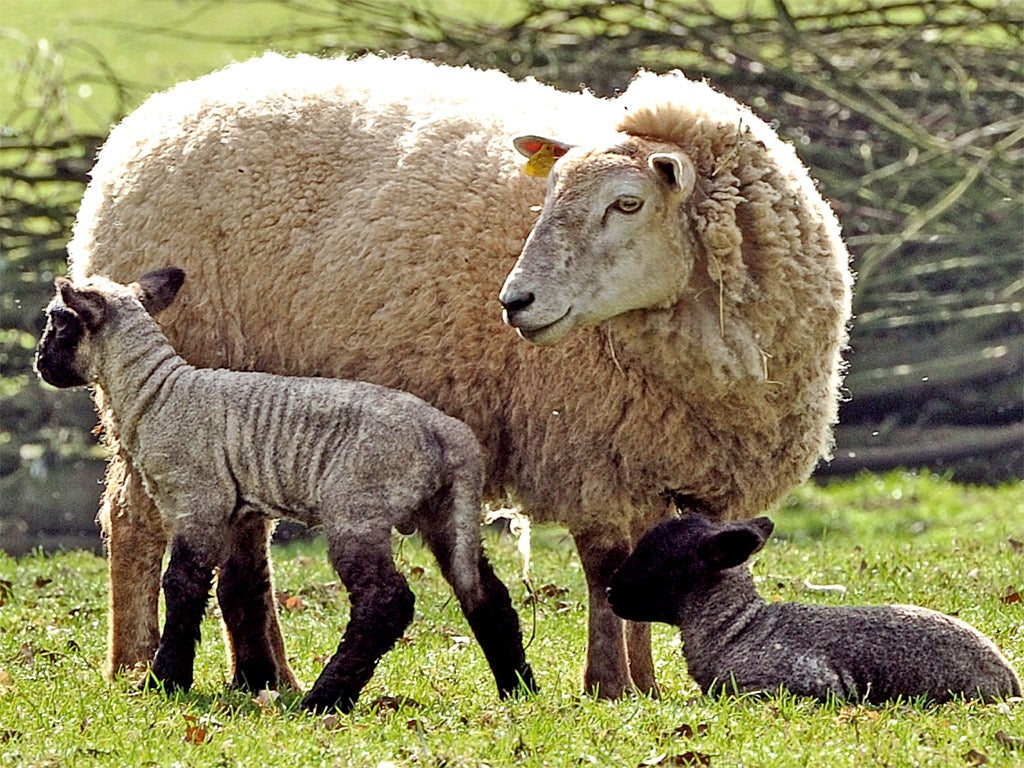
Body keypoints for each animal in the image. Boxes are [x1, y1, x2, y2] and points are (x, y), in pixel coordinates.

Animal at [32, 268, 536, 712]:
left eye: (58, 322)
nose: (40, 363)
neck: (156, 392)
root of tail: (448, 434)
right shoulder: (233, 512)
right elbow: (237, 587)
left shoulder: (197, 500)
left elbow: (182, 585)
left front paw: (166, 679)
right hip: (445, 512)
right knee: (484, 592)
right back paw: (518, 689)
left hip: (358, 508)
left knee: (386, 601)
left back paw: (325, 697)